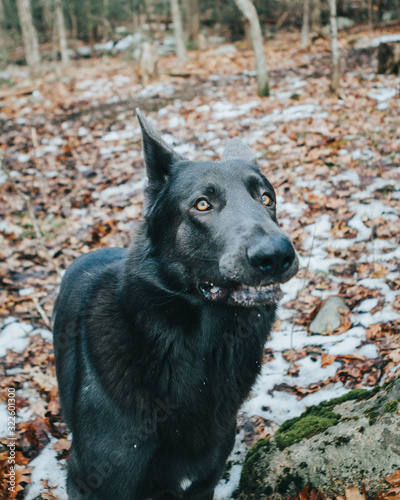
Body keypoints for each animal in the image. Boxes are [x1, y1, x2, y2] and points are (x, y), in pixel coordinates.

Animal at [52, 110, 296, 500]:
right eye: (202, 204)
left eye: (266, 199)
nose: (276, 256)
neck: (202, 347)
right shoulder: (89, 482)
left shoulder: (202, 482)